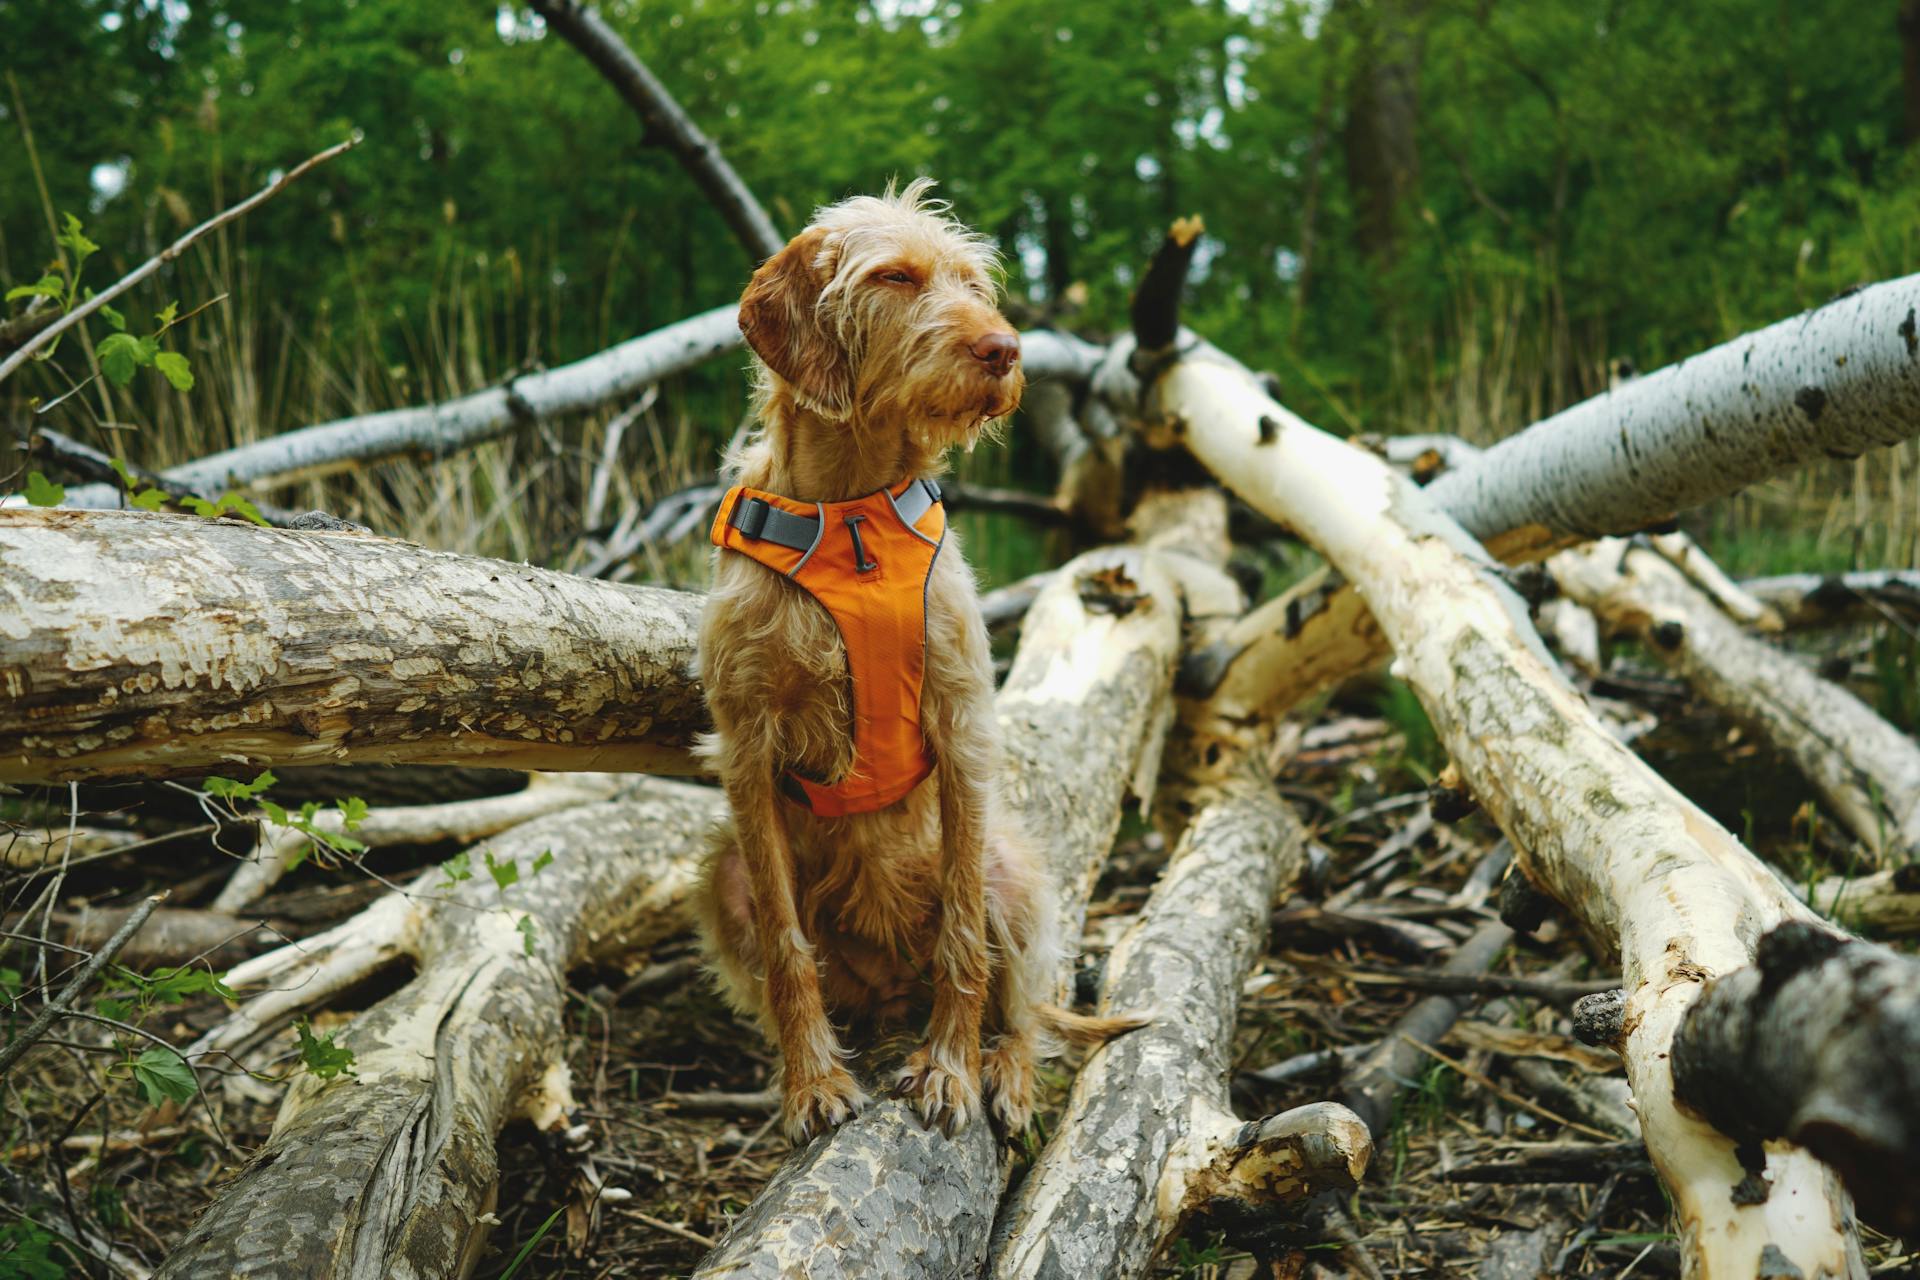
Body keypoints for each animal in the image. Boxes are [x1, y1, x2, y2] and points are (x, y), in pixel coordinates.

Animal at [698, 177, 1128, 1143]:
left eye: (974, 282)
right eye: (894, 277)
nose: (1005, 350)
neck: (851, 518)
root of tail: (891, 981)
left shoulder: (962, 720)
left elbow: (965, 940)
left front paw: (951, 1069)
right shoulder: (747, 747)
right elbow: (786, 946)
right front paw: (812, 1083)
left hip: (1014, 869)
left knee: (1025, 1002)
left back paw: (1003, 1066)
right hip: (725, 875)